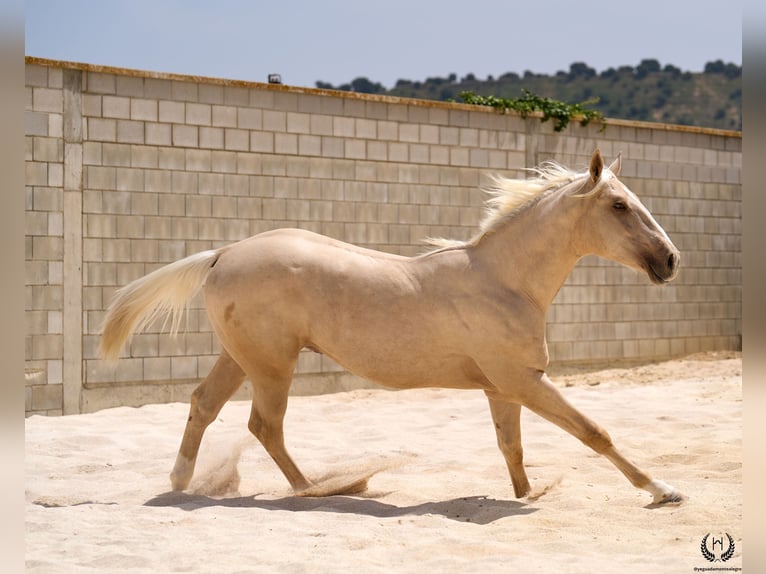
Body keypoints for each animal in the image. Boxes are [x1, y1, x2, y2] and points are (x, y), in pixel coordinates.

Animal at [100, 148, 684, 505]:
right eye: (619, 205)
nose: (670, 260)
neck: (504, 281)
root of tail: (224, 254)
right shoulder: (523, 381)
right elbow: (594, 431)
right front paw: (662, 490)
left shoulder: (503, 388)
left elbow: (512, 449)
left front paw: (524, 494)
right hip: (272, 366)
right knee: (264, 426)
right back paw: (318, 488)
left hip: (243, 358)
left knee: (204, 404)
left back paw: (181, 482)